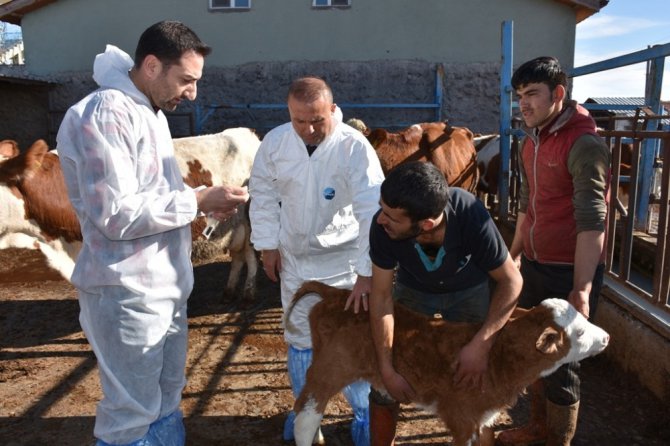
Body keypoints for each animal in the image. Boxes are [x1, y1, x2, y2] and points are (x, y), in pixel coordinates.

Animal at [292, 282, 612, 446]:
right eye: (579, 332)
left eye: (583, 318)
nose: (607, 336)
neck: (498, 359)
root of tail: (337, 293)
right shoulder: (461, 418)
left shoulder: (483, 416)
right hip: (330, 368)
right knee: (306, 412)